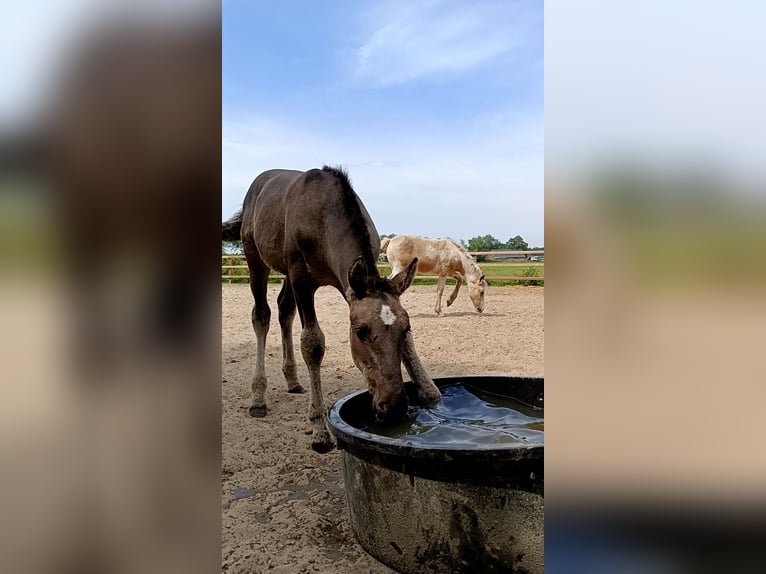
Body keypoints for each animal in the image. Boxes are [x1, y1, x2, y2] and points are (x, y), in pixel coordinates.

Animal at [222, 167, 441, 452]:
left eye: (406, 329)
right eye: (360, 332)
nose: (393, 407)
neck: (323, 215)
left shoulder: (345, 280)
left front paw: (429, 391)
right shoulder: (301, 276)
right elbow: (312, 343)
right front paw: (319, 428)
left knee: (284, 310)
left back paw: (293, 380)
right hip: (255, 258)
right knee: (262, 316)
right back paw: (258, 397)